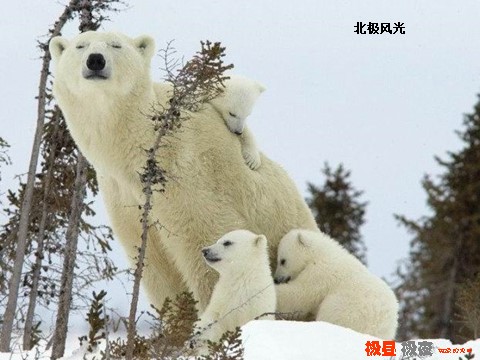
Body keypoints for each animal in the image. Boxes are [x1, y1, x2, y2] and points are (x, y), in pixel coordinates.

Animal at [49, 31, 318, 310]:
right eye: (81, 46)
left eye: (116, 45)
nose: (95, 60)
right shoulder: (123, 195)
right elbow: (157, 267)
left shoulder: (187, 174)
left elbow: (207, 243)